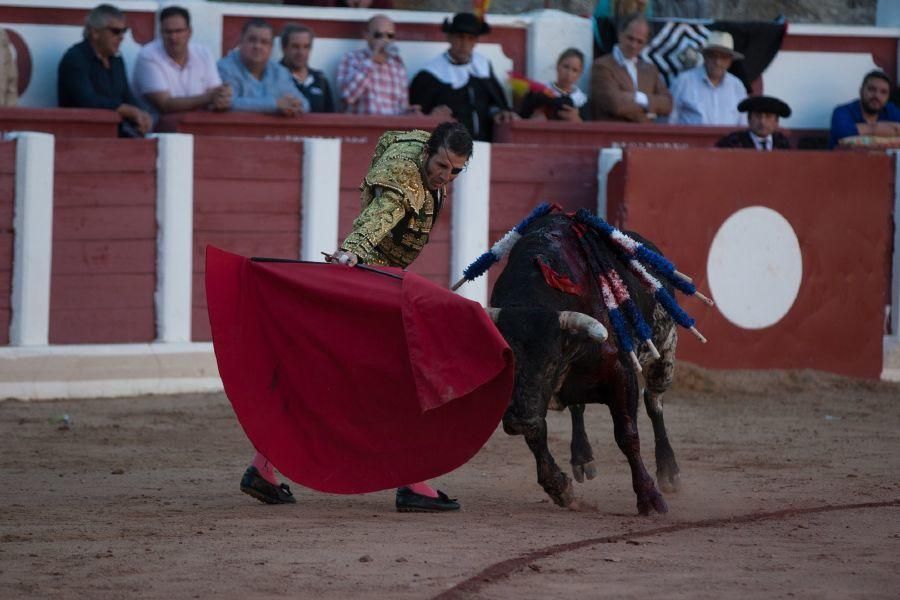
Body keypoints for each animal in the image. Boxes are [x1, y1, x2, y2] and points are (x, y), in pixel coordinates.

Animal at [488, 213, 680, 512]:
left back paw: (669, 472)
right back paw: (582, 458)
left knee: (653, 401)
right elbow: (537, 434)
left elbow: (627, 434)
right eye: (505, 362)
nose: (518, 420)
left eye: (551, 361)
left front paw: (649, 497)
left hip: (665, 351)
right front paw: (559, 487)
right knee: (577, 407)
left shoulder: (621, 374)